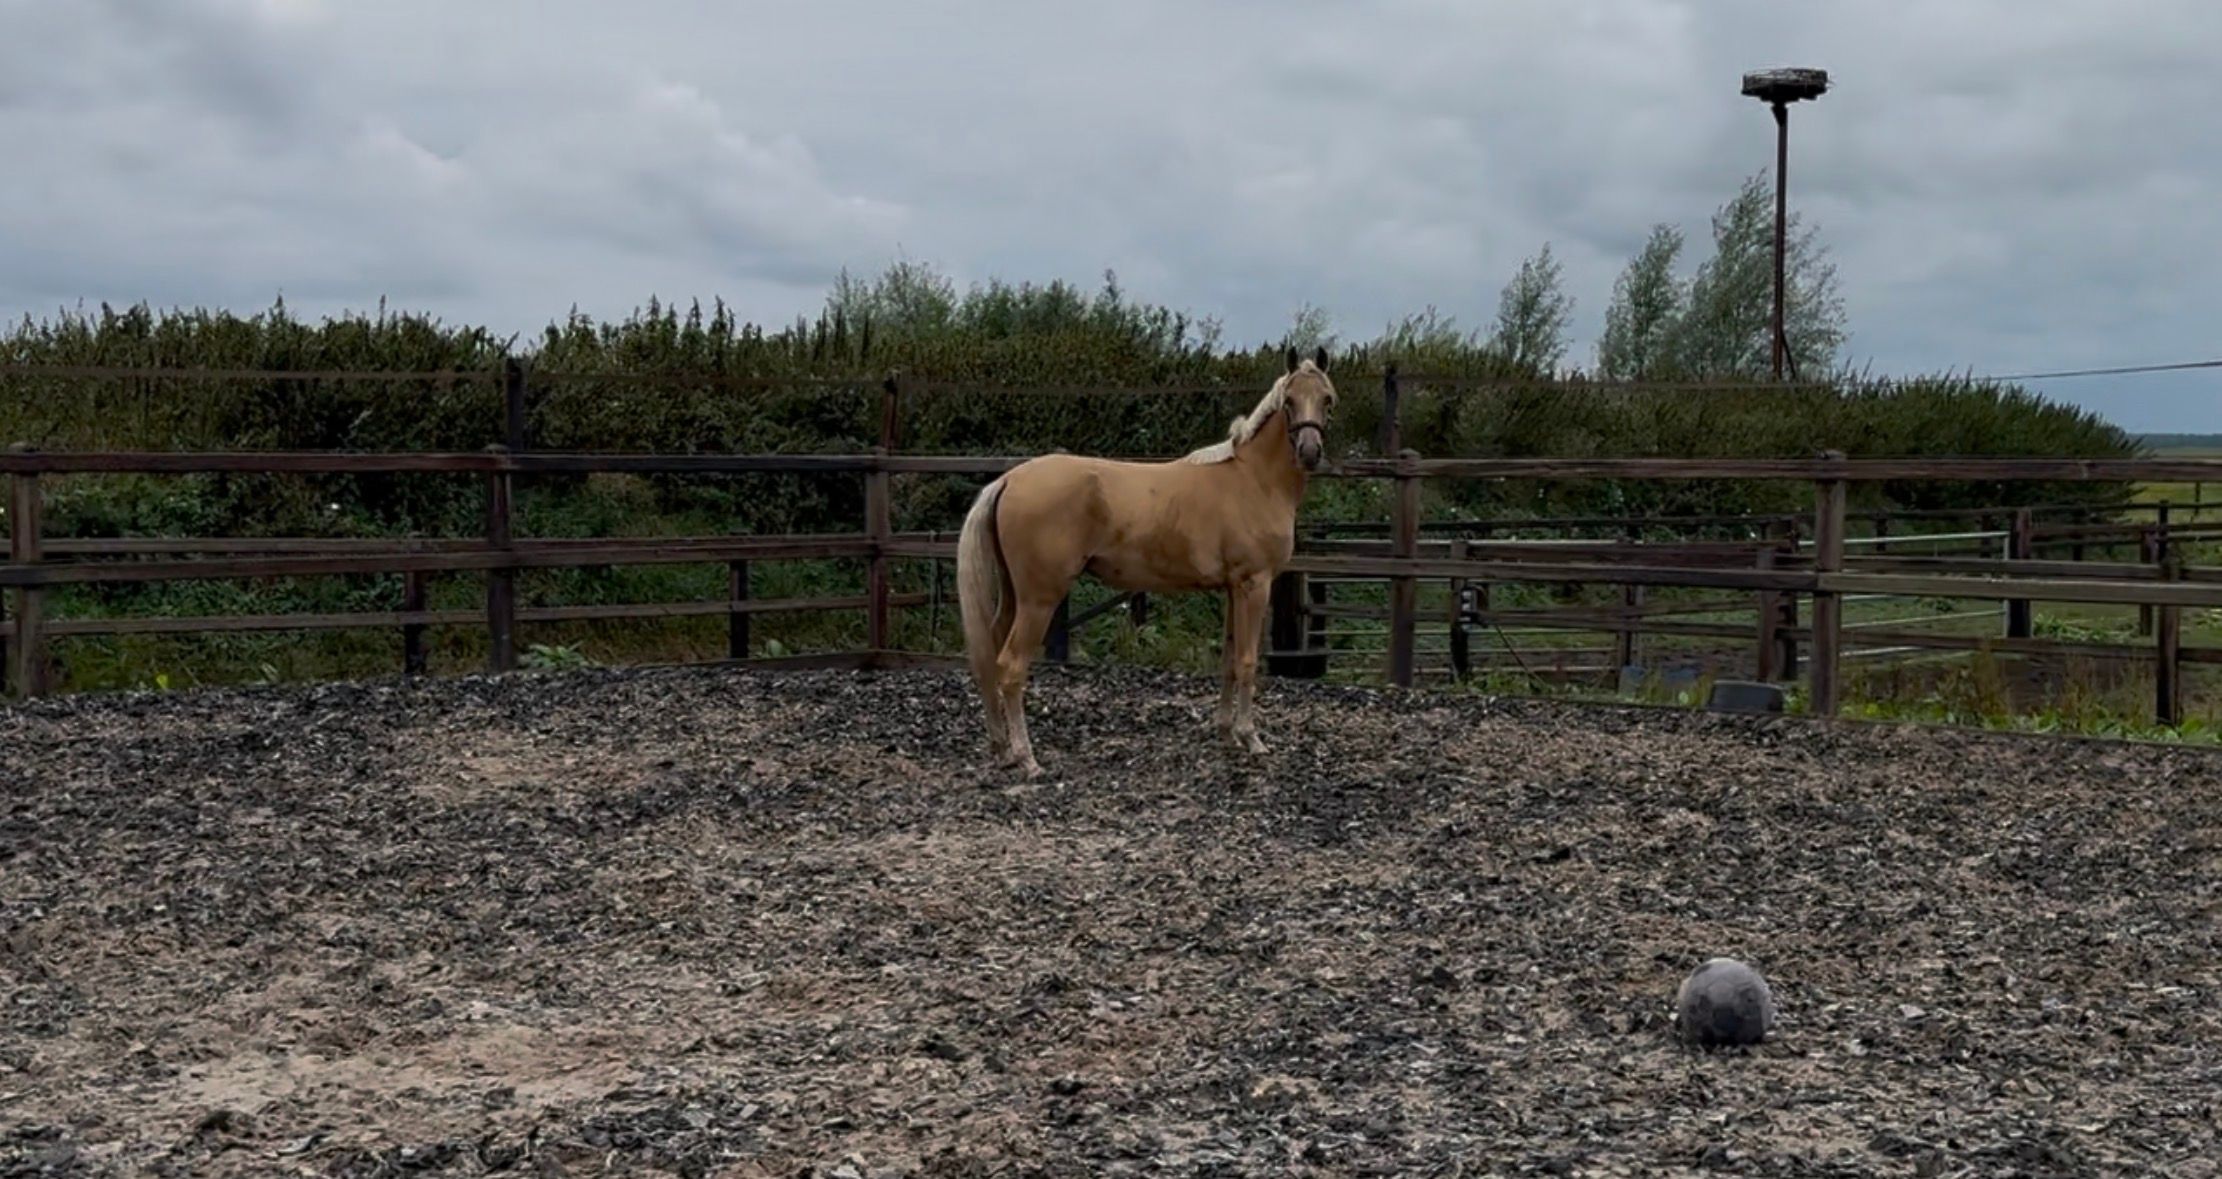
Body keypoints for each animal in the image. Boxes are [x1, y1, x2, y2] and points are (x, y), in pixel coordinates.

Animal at [954, 347, 1338, 778]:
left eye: (1327, 399)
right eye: (1289, 402)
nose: (1309, 452)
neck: (1253, 479)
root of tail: (1008, 480)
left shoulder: (1231, 588)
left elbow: (1227, 659)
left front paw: (1226, 733)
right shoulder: (1254, 585)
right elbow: (1247, 660)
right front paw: (1250, 738)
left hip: (1013, 597)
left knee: (990, 659)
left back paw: (1002, 749)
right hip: (1039, 600)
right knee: (1011, 666)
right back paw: (1027, 758)